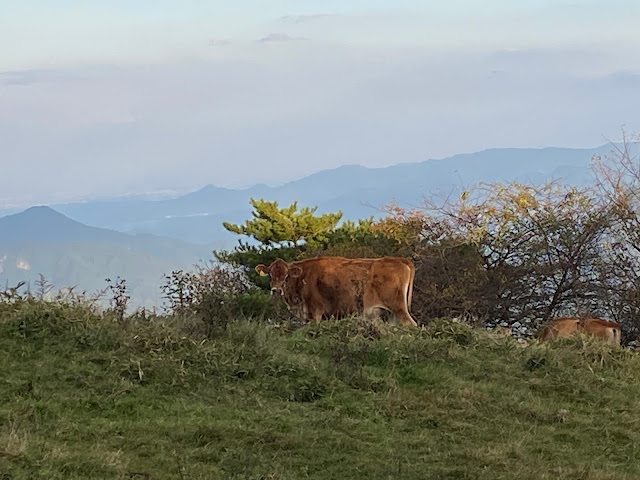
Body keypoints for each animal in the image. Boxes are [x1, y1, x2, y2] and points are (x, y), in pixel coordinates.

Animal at [252, 255, 418, 326]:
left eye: (286, 276)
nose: (276, 290)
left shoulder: (315, 312)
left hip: (399, 308)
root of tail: (398, 260)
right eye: (270, 274)